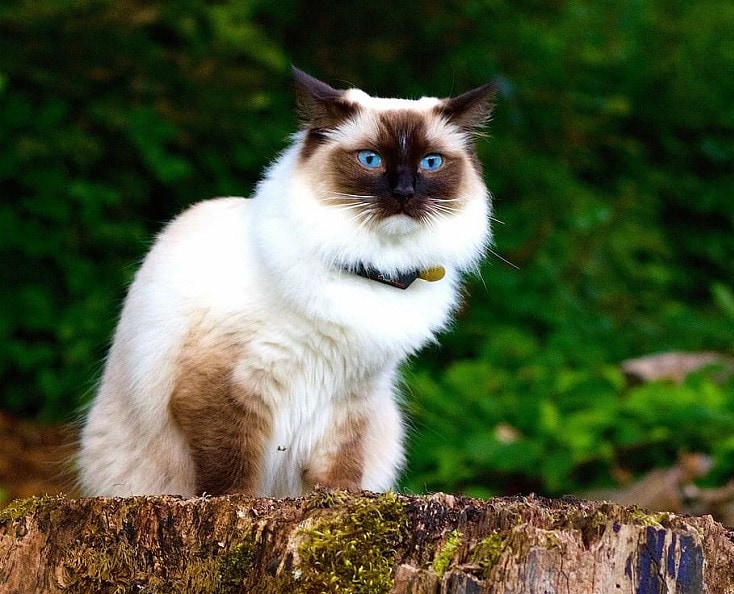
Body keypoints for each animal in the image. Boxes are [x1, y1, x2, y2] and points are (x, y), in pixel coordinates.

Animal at [77, 67, 498, 498]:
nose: (404, 192)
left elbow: (341, 466)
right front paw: (238, 502)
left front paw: (341, 500)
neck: (372, 269)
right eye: (371, 159)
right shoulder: (229, 384)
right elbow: (230, 471)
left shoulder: (351, 397)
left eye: (431, 163)